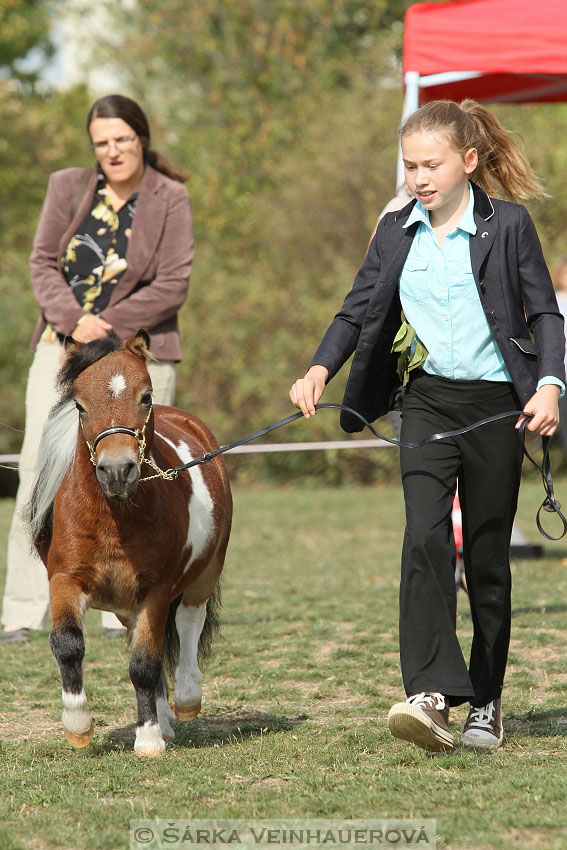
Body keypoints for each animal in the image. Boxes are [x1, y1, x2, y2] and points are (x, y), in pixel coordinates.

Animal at [28, 332, 233, 756]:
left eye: (146, 396)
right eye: (79, 404)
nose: (117, 471)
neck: (114, 520)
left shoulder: (156, 590)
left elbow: (144, 664)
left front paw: (149, 737)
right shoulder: (66, 580)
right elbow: (68, 644)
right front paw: (78, 725)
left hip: (207, 568)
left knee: (189, 619)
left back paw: (186, 698)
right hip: (125, 605)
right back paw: (167, 720)